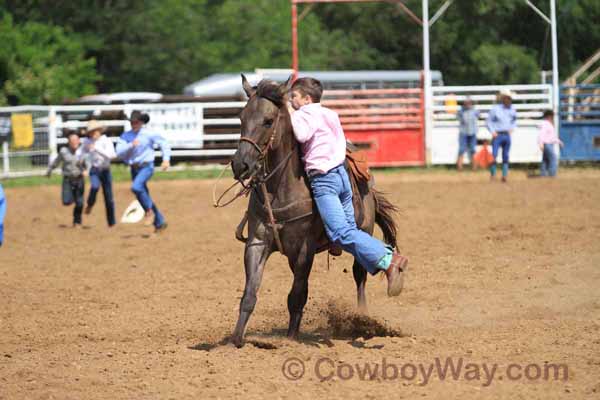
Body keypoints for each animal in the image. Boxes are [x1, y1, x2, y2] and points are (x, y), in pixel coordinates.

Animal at [230, 74, 404, 346]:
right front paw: (237, 339)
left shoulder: (304, 248)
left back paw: (364, 315)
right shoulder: (257, 242)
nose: (240, 165)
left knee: (359, 274)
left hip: (362, 229)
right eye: (241, 118)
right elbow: (250, 293)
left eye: (268, 121)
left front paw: (291, 339)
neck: (280, 187)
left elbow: (296, 296)